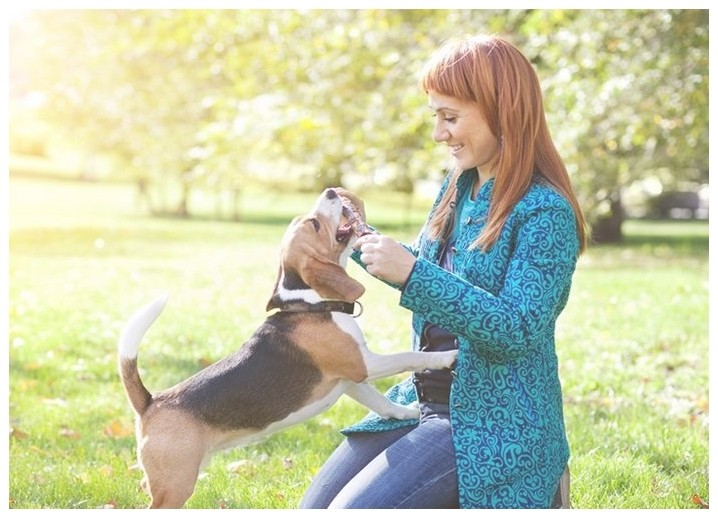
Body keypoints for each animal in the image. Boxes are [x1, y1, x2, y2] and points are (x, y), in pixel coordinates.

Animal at [117, 189, 456, 510]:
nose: (331, 191)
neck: (312, 302)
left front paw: (406, 413)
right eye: (315, 224)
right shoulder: (363, 365)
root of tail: (151, 402)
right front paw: (446, 357)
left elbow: (382, 404)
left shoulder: (350, 380)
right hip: (177, 484)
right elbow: (409, 357)